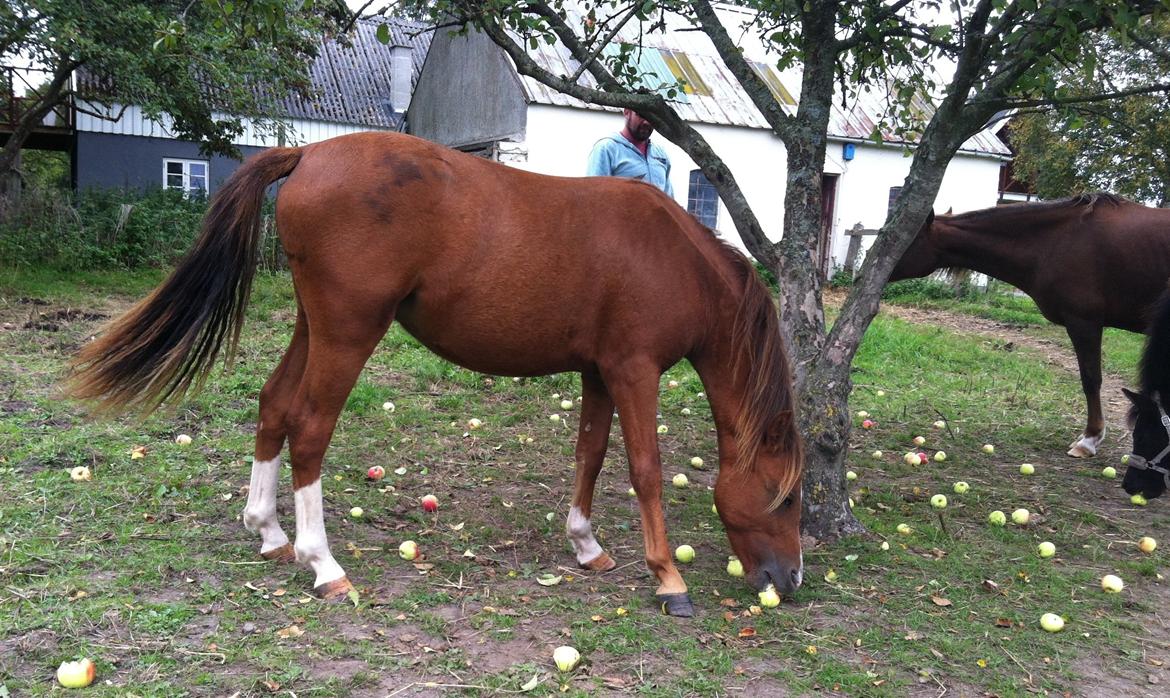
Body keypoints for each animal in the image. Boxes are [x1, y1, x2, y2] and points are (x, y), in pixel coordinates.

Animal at [66, 131, 804, 617]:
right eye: (788, 498)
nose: (790, 579)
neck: (672, 258)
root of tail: (309, 153)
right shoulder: (634, 372)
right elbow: (645, 469)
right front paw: (668, 580)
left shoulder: (599, 373)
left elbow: (590, 455)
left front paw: (586, 545)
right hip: (349, 331)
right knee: (309, 427)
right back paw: (321, 562)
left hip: (314, 326)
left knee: (274, 406)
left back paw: (270, 531)